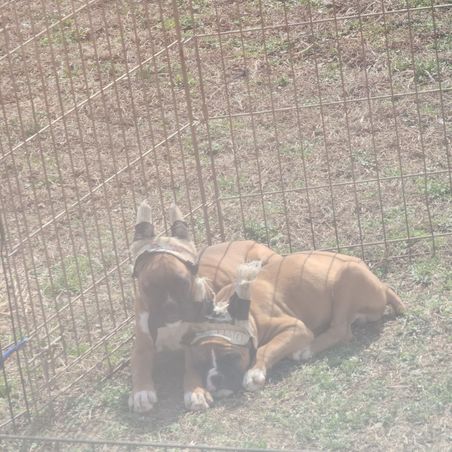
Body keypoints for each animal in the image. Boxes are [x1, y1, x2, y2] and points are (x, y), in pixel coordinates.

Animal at [129, 202, 276, 412]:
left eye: (183, 283)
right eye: (148, 287)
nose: (170, 307)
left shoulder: (194, 344)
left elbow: (192, 368)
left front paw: (195, 392)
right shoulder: (143, 344)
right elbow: (139, 365)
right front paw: (141, 393)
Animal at [183, 250, 405, 400]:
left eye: (231, 357)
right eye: (201, 363)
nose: (216, 378)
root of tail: (382, 287)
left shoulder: (296, 328)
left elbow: (265, 349)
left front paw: (254, 373)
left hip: (346, 278)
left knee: (341, 330)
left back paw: (305, 350)